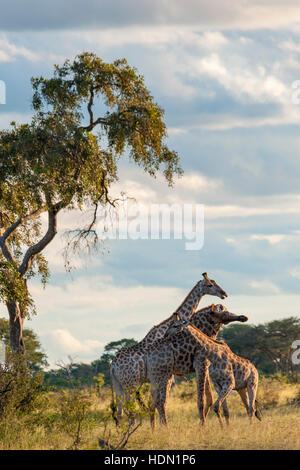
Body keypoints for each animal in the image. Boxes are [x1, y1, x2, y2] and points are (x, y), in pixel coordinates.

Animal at [110, 272, 227, 418]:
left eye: (214, 281)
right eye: (209, 285)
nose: (224, 294)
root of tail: (112, 366)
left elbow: (155, 404)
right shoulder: (167, 376)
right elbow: (159, 403)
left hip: (120, 386)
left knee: (120, 412)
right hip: (130, 384)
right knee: (128, 410)